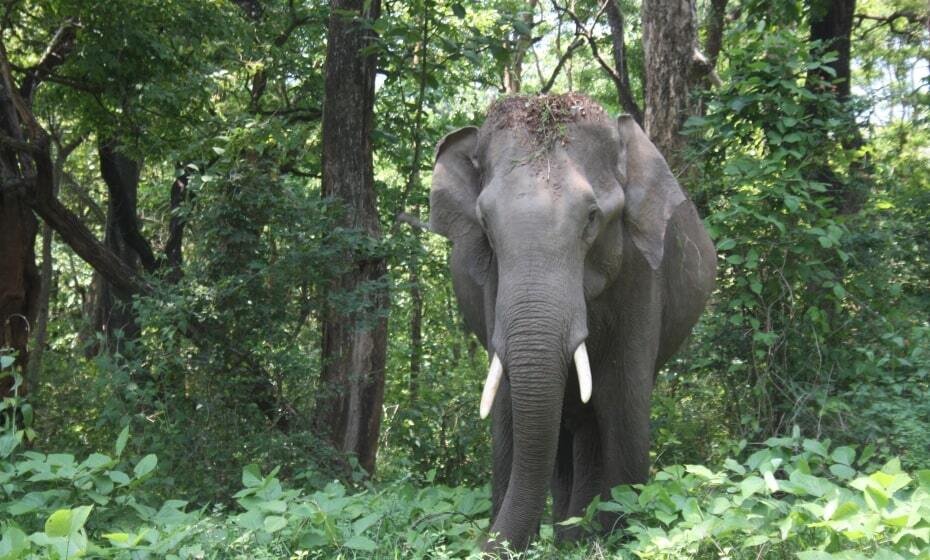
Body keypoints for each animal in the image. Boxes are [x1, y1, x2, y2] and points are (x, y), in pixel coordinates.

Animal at [430, 93, 716, 552]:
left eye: (592, 217)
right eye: (485, 222)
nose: (483, 544)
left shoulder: (642, 272)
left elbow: (623, 399)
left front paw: (620, 536)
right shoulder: (492, 282)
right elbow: (508, 405)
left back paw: (579, 534)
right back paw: (568, 533)